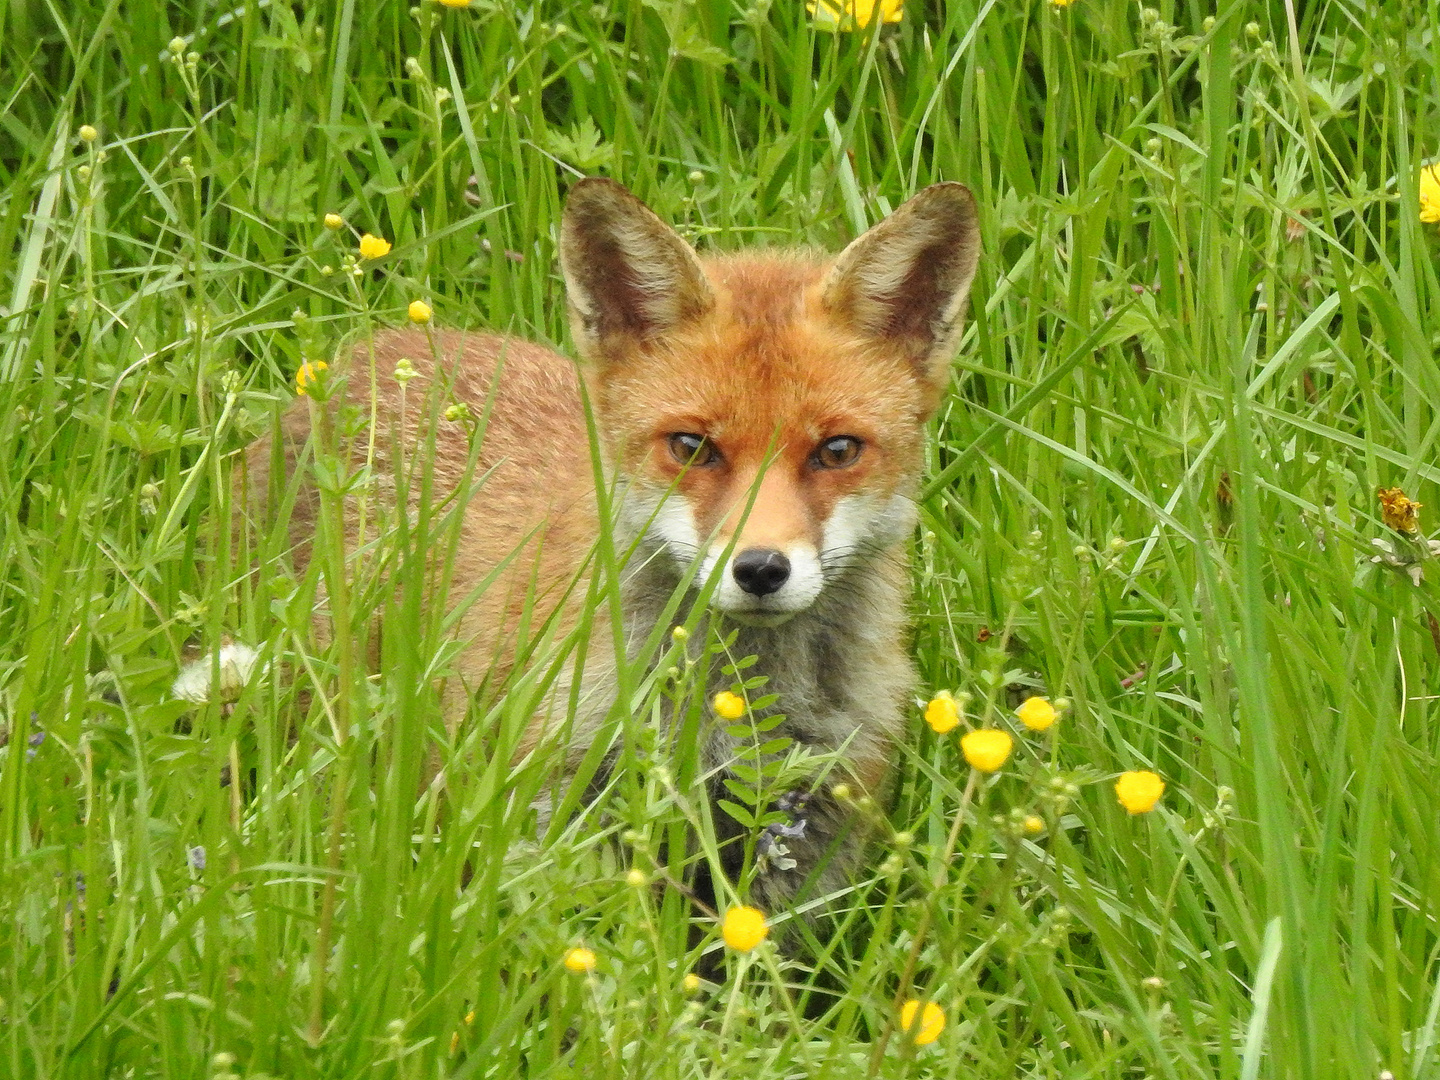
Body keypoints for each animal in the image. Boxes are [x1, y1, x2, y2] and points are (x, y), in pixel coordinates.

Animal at [241, 175, 984, 915]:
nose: (760, 569)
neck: (728, 704)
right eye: (692, 447)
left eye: (836, 451)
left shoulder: (814, 825)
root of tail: (364, 354)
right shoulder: (554, 800)